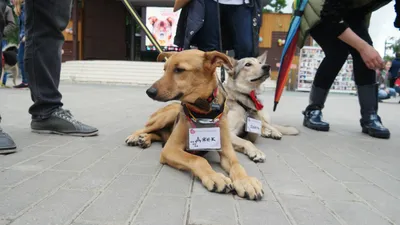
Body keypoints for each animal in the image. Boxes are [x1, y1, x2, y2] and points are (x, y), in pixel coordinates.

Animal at [126, 49, 264, 200]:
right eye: (164, 69)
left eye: (179, 70)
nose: (149, 92)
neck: (203, 114)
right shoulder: (170, 149)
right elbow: (197, 159)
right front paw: (215, 177)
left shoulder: (227, 149)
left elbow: (237, 165)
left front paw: (246, 181)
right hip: (166, 116)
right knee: (146, 128)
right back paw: (135, 137)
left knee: (158, 135)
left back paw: (145, 139)